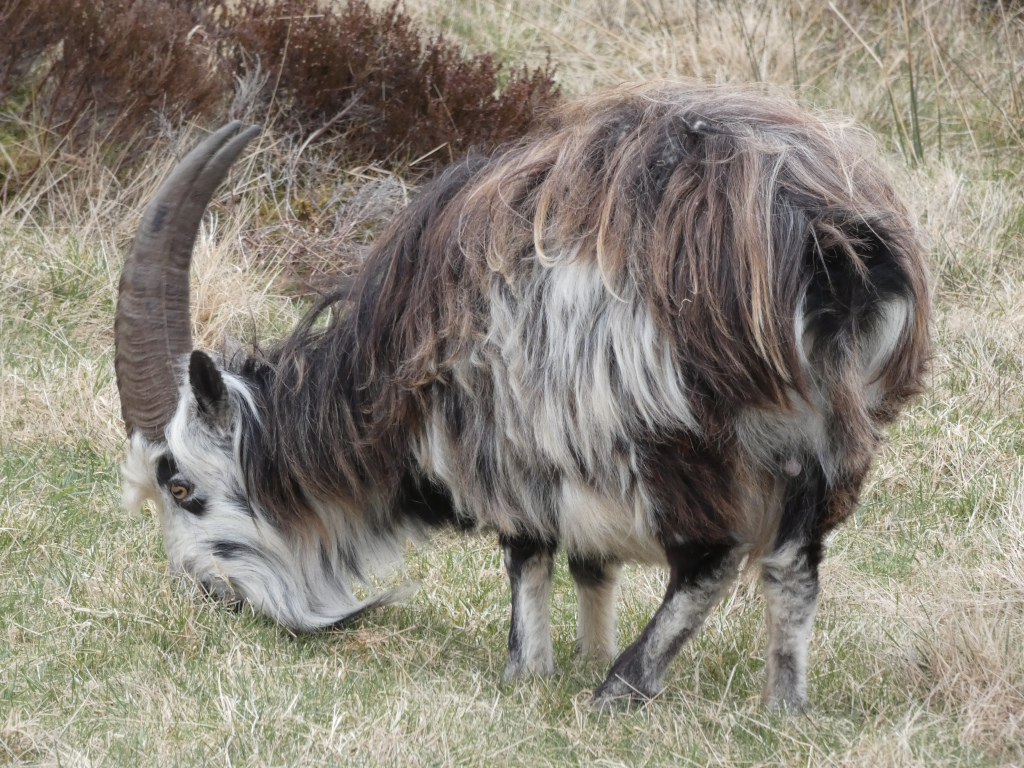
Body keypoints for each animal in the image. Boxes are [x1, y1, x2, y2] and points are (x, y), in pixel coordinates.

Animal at [116, 82, 930, 709]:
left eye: (181, 486)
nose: (209, 595)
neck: (386, 378)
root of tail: (823, 240)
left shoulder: (510, 439)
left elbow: (528, 554)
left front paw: (528, 670)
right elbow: (591, 563)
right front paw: (583, 650)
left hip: (680, 430)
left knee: (714, 558)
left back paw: (621, 690)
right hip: (827, 439)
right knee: (793, 566)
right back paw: (781, 707)